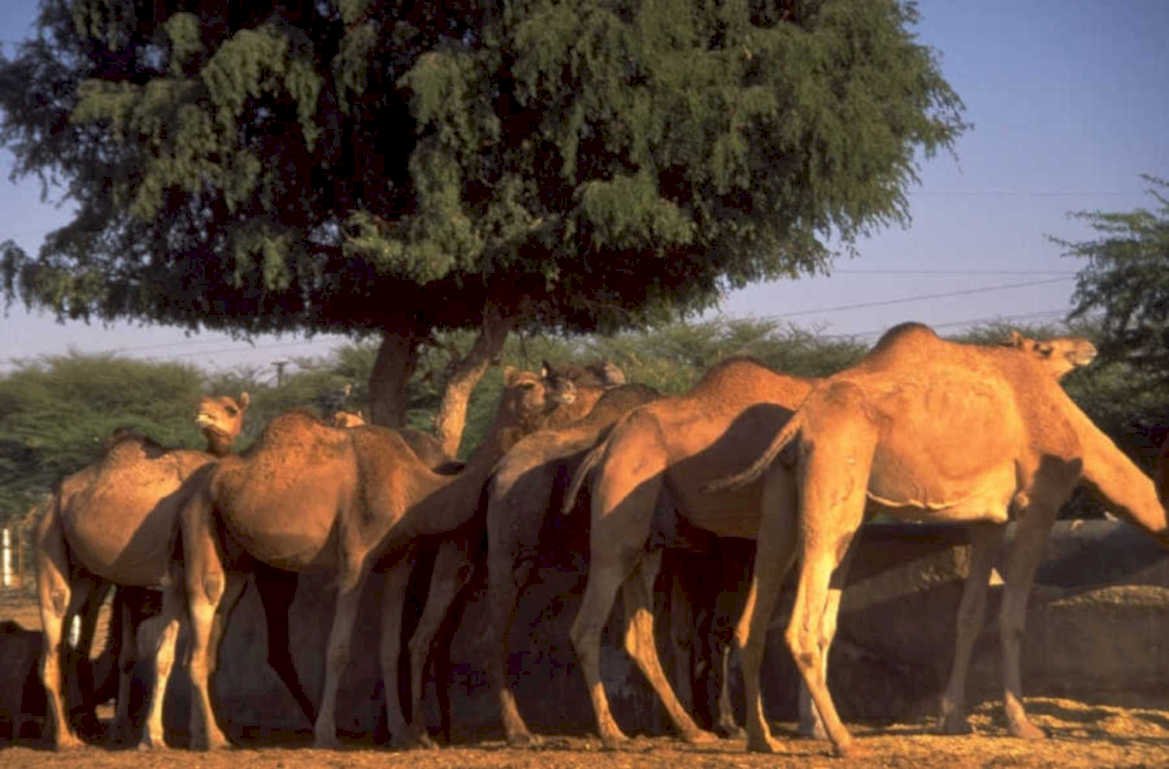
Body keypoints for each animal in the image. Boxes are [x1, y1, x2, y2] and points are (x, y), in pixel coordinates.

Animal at [35, 393, 250, 749]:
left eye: (231, 409)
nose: (204, 414)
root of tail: (52, 499)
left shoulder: (227, 581)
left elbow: (202, 656)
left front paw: (199, 734)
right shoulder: (175, 577)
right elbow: (165, 657)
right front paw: (154, 738)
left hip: (87, 574)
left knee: (70, 637)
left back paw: (64, 731)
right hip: (49, 534)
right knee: (55, 611)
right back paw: (67, 739)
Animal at [176, 365, 579, 750]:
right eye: (528, 384)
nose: (567, 387)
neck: (415, 489)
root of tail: (203, 481)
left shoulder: (399, 560)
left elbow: (389, 648)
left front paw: (403, 735)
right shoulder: (356, 556)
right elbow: (338, 648)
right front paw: (327, 735)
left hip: (237, 559)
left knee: (214, 630)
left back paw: (206, 735)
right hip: (200, 522)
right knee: (203, 611)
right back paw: (212, 739)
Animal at [704, 322, 1169, 758]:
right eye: (1049, 348)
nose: (1090, 346)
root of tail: (800, 423)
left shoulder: (988, 521)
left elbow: (969, 615)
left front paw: (954, 719)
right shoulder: (1038, 502)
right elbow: (1013, 618)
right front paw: (1023, 724)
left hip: (784, 496)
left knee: (754, 617)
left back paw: (763, 738)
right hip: (835, 483)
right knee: (800, 622)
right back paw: (843, 740)